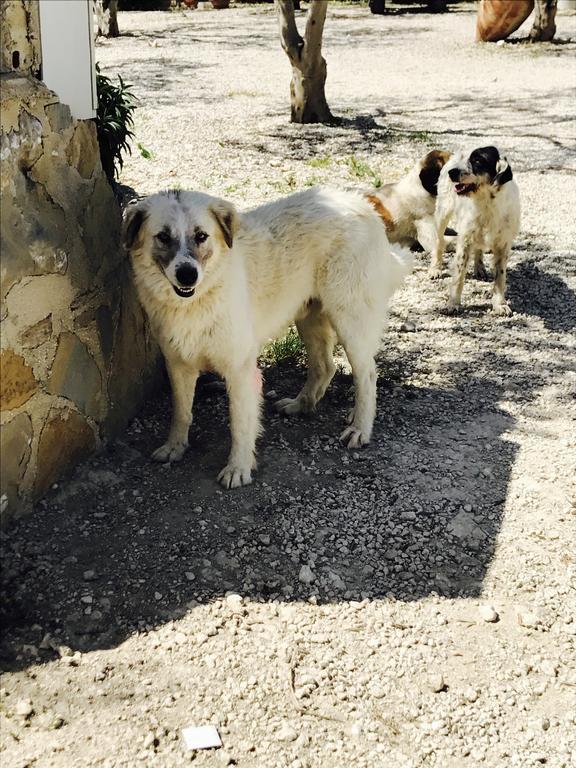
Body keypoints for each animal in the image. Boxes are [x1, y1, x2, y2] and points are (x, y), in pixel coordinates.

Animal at [122, 186, 414, 486]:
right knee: (325, 366)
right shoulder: (178, 364)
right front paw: (175, 447)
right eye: (163, 237)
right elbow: (181, 412)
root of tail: (363, 205)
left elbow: (240, 423)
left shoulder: (240, 370)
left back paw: (360, 427)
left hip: (349, 320)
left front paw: (238, 468)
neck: (197, 300)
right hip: (308, 318)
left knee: (367, 374)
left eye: (201, 236)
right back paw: (301, 404)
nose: (187, 275)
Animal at [430, 147, 520, 316]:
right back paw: (435, 268)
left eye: (478, 161)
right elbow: (459, 276)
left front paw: (500, 304)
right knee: (439, 242)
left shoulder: (503, 244)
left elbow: (500, 277)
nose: (452, 172)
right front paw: (453, 303)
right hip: (442, 213)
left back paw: (479, 267)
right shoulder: (465, 240)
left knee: (479, 248)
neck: (487, 203)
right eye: (467, 159)